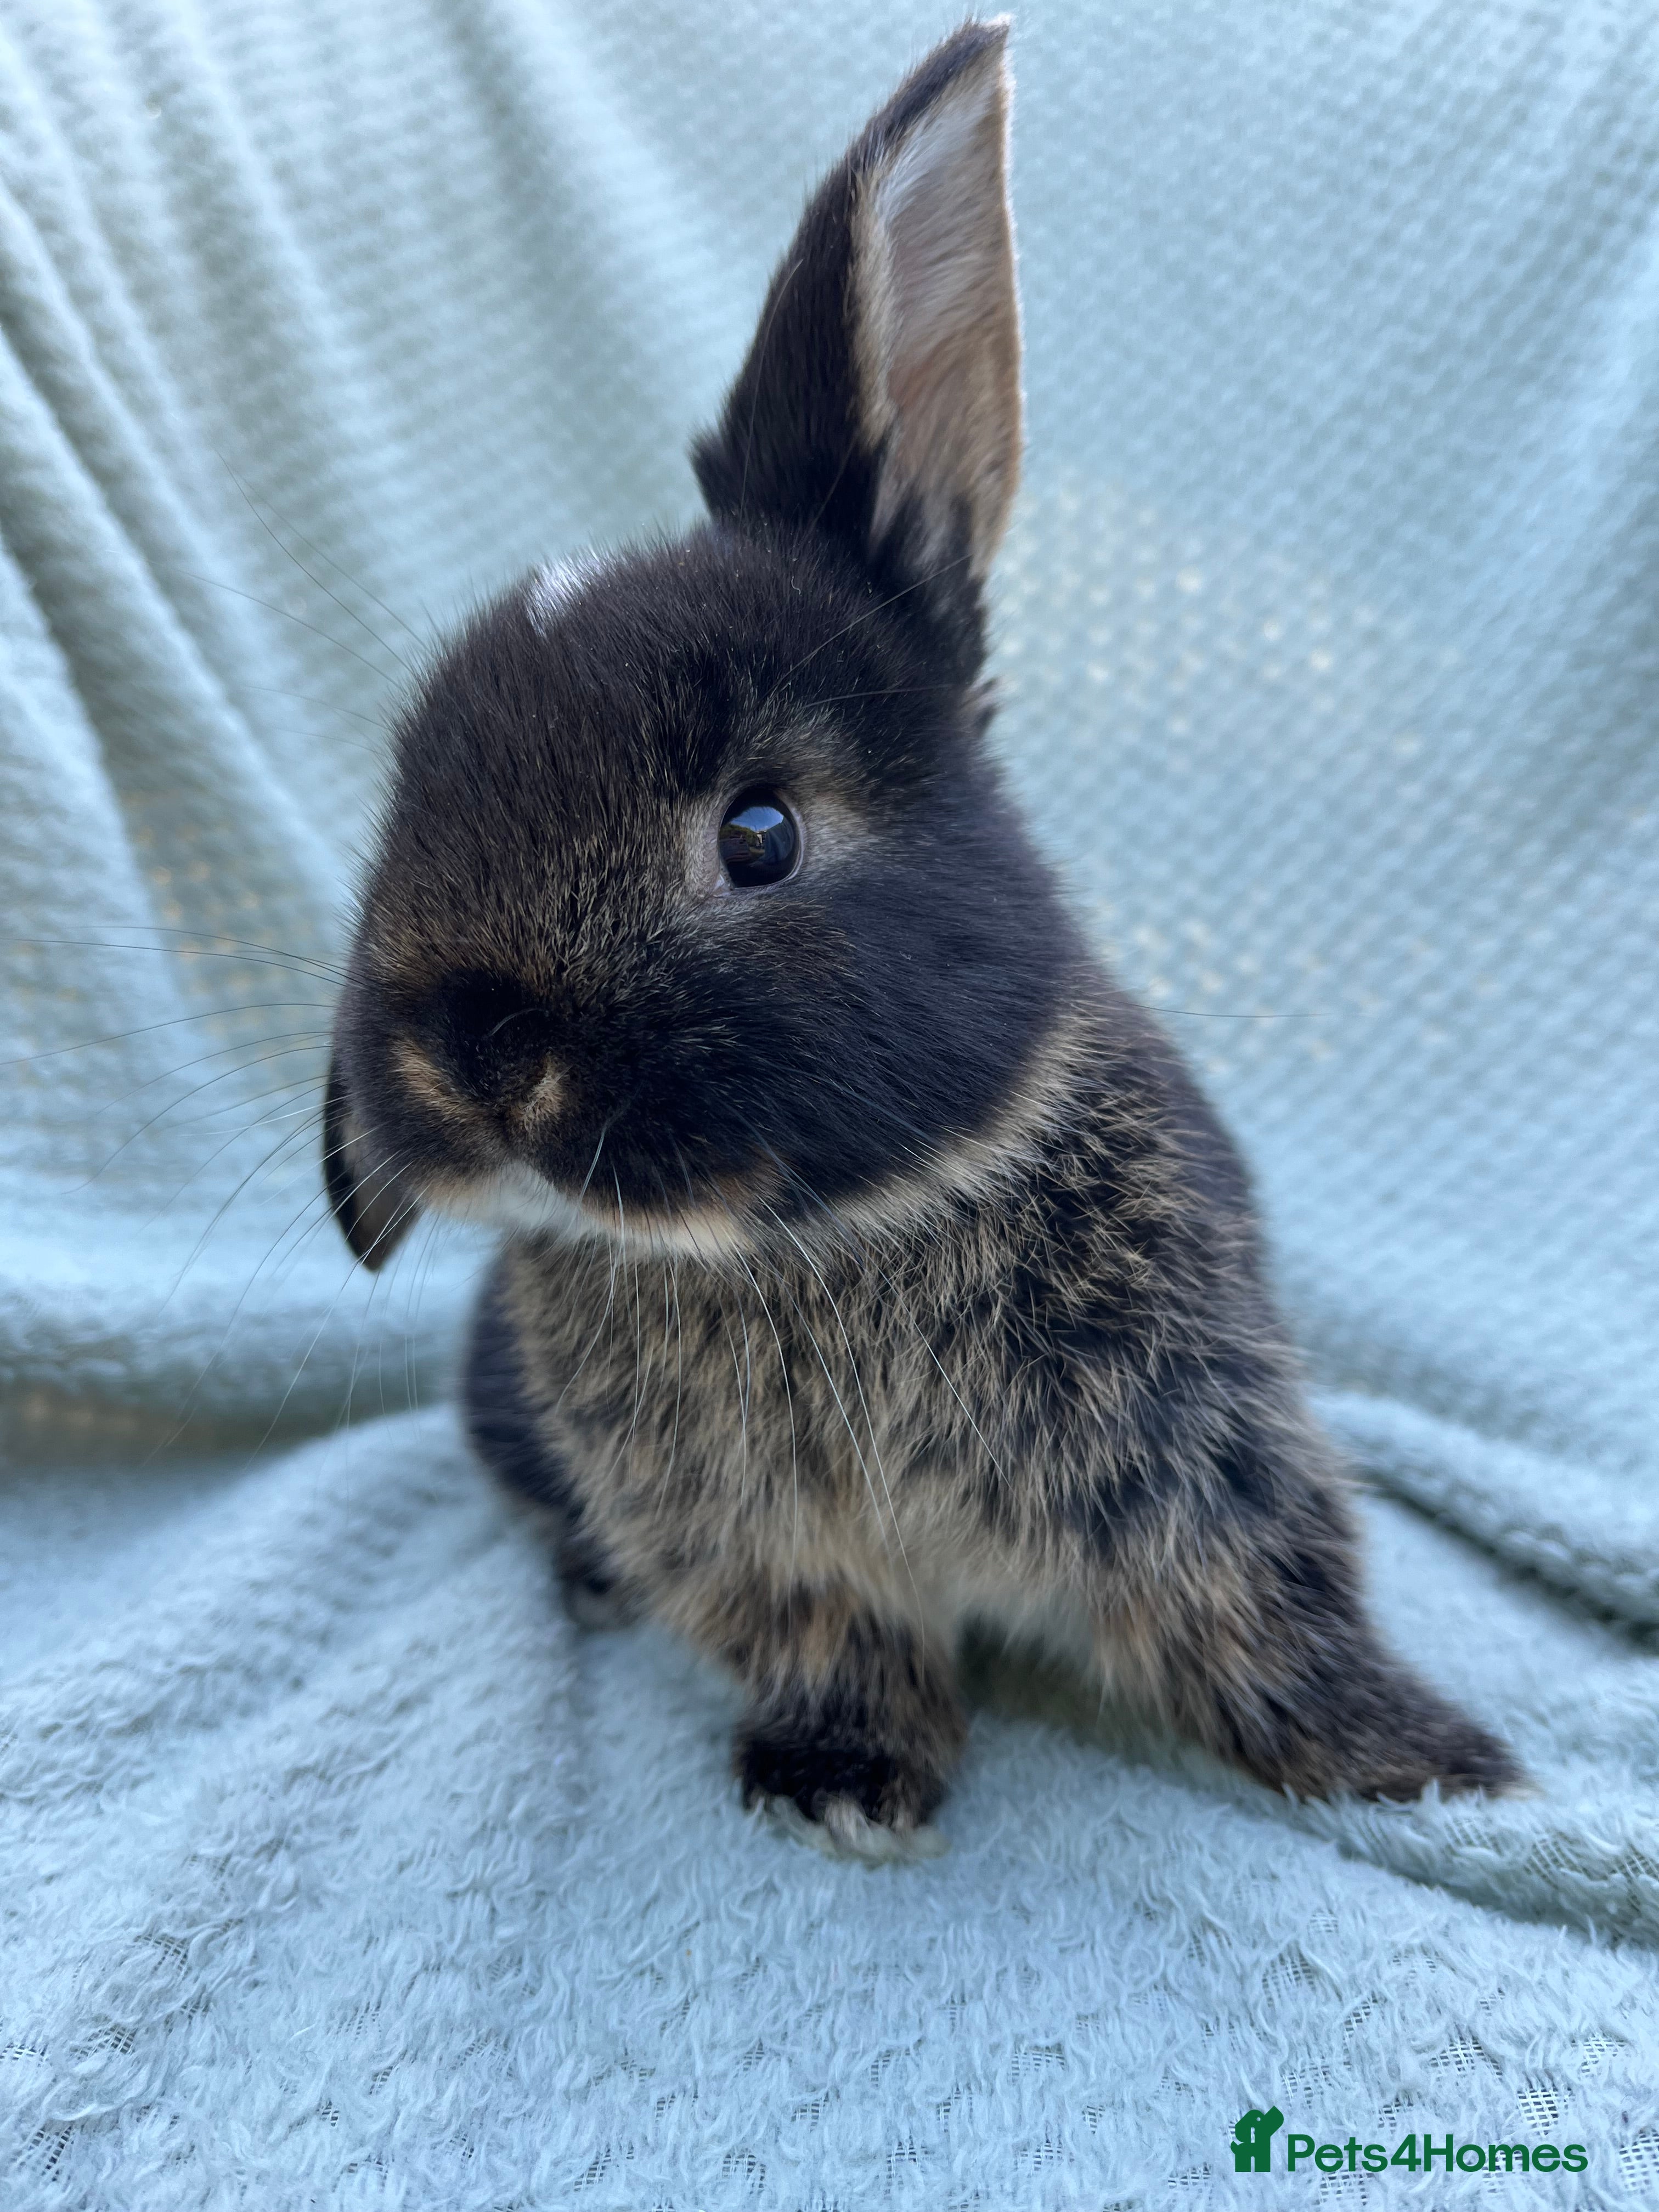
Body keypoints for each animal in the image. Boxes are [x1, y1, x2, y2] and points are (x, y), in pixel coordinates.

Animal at [323, 17, 1517, 1855]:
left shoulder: (1203, 1462)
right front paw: (846, 1787)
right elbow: (837, 1641)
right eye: (406, 795)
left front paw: (1426, 1765)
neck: (818, 1241)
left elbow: (1264, 1617)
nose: (472, 1058)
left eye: (760, 834)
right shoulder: (764, 1556)